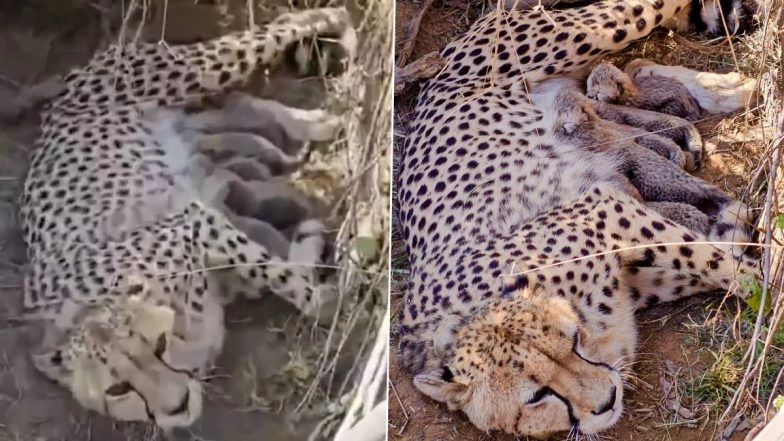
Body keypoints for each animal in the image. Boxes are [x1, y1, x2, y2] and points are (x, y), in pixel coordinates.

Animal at [18, 7, 356, 430]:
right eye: (118, 390)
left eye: (160, 344)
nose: (176, 405)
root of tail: (71, 81)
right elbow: (271, 264)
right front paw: (308, 252)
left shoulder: (196, 224)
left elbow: (270, 270)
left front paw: (322, 300)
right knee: (247, 102)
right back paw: (319, 122)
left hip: (198, 69)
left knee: (288, 24)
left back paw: (342, 35)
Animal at [395, 0, 761, 438]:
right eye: (536, 397)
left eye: (570, 342)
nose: (606, 400)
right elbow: (712, 257)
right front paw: (731, 228)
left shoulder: (606, 210)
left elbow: (722, 264)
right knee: (635, 66)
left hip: (584, 33)